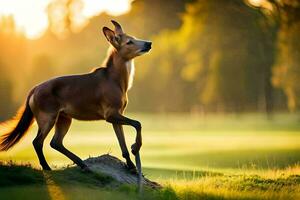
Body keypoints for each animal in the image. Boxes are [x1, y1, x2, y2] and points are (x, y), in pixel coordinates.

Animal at [0, 20, 151, 178]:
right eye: (129, 42)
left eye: (133, 38)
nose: (149, 43)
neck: (117, 81)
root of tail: (33, 91)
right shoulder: (110, 114)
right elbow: (138, 123)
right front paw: (135, 148)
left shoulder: (116, 114)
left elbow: (123, 143)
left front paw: (131, 166)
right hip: (47, 116)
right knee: (38, 142)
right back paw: (48, 167)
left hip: (63, 117)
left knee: (55, 142)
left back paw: (82, 164)